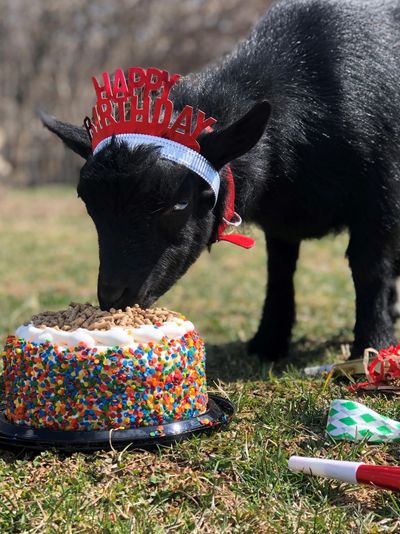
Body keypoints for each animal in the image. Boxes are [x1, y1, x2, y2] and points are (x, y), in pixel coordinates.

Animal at [42, 0, 400, 364]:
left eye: (180, 204)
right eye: (87, 203)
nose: (113, 297)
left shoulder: (380, 194)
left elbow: (369, 268)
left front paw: (371, 346)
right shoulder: (281, 220)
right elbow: (280, 271)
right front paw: (268, 342)